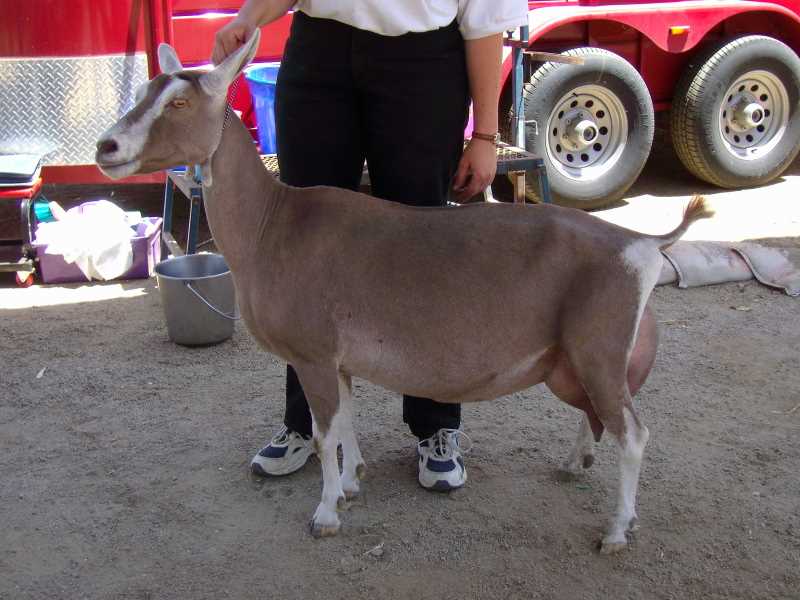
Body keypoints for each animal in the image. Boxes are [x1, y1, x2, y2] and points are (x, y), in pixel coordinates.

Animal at [95, 30, 712, 552]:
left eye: (179, 104)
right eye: (145, 93)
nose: (106, 146)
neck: (274, 223)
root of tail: (641, 243)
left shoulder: (313, 351)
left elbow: (323, 432)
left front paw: (326, 514)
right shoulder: (337, 357)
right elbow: (344, 420)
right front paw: (351, 482)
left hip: (598, 347)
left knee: (633, 432)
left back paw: (617, 531)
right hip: (577, 362)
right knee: (600, 415)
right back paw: (577, 466)